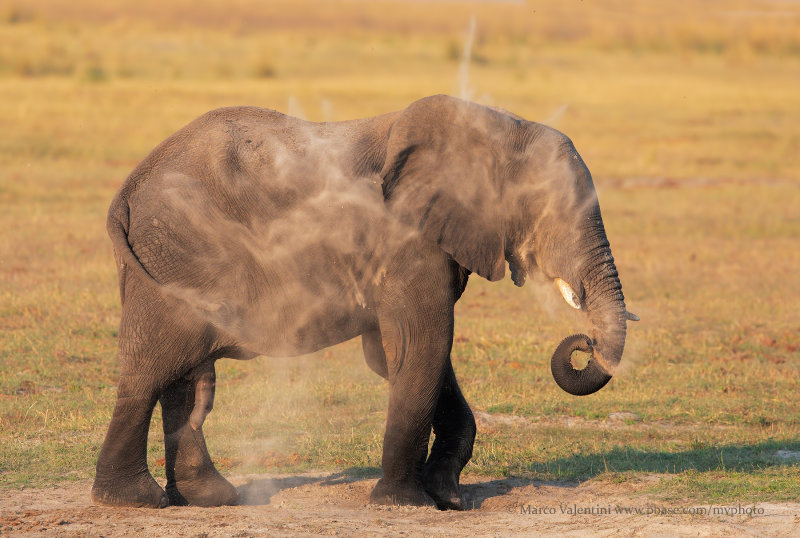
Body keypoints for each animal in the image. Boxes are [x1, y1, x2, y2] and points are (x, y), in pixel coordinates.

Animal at [90, 94, 636, 508]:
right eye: (552, 209)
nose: (583, 343)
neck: (495, 127)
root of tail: (126, 190)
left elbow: (404, 357)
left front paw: (448, 498)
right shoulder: (407, 243)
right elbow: (422, 346)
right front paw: (404, 503)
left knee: (182, 372)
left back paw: (210, 498)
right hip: (179, 250)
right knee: (153, 368)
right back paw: (134, 501)